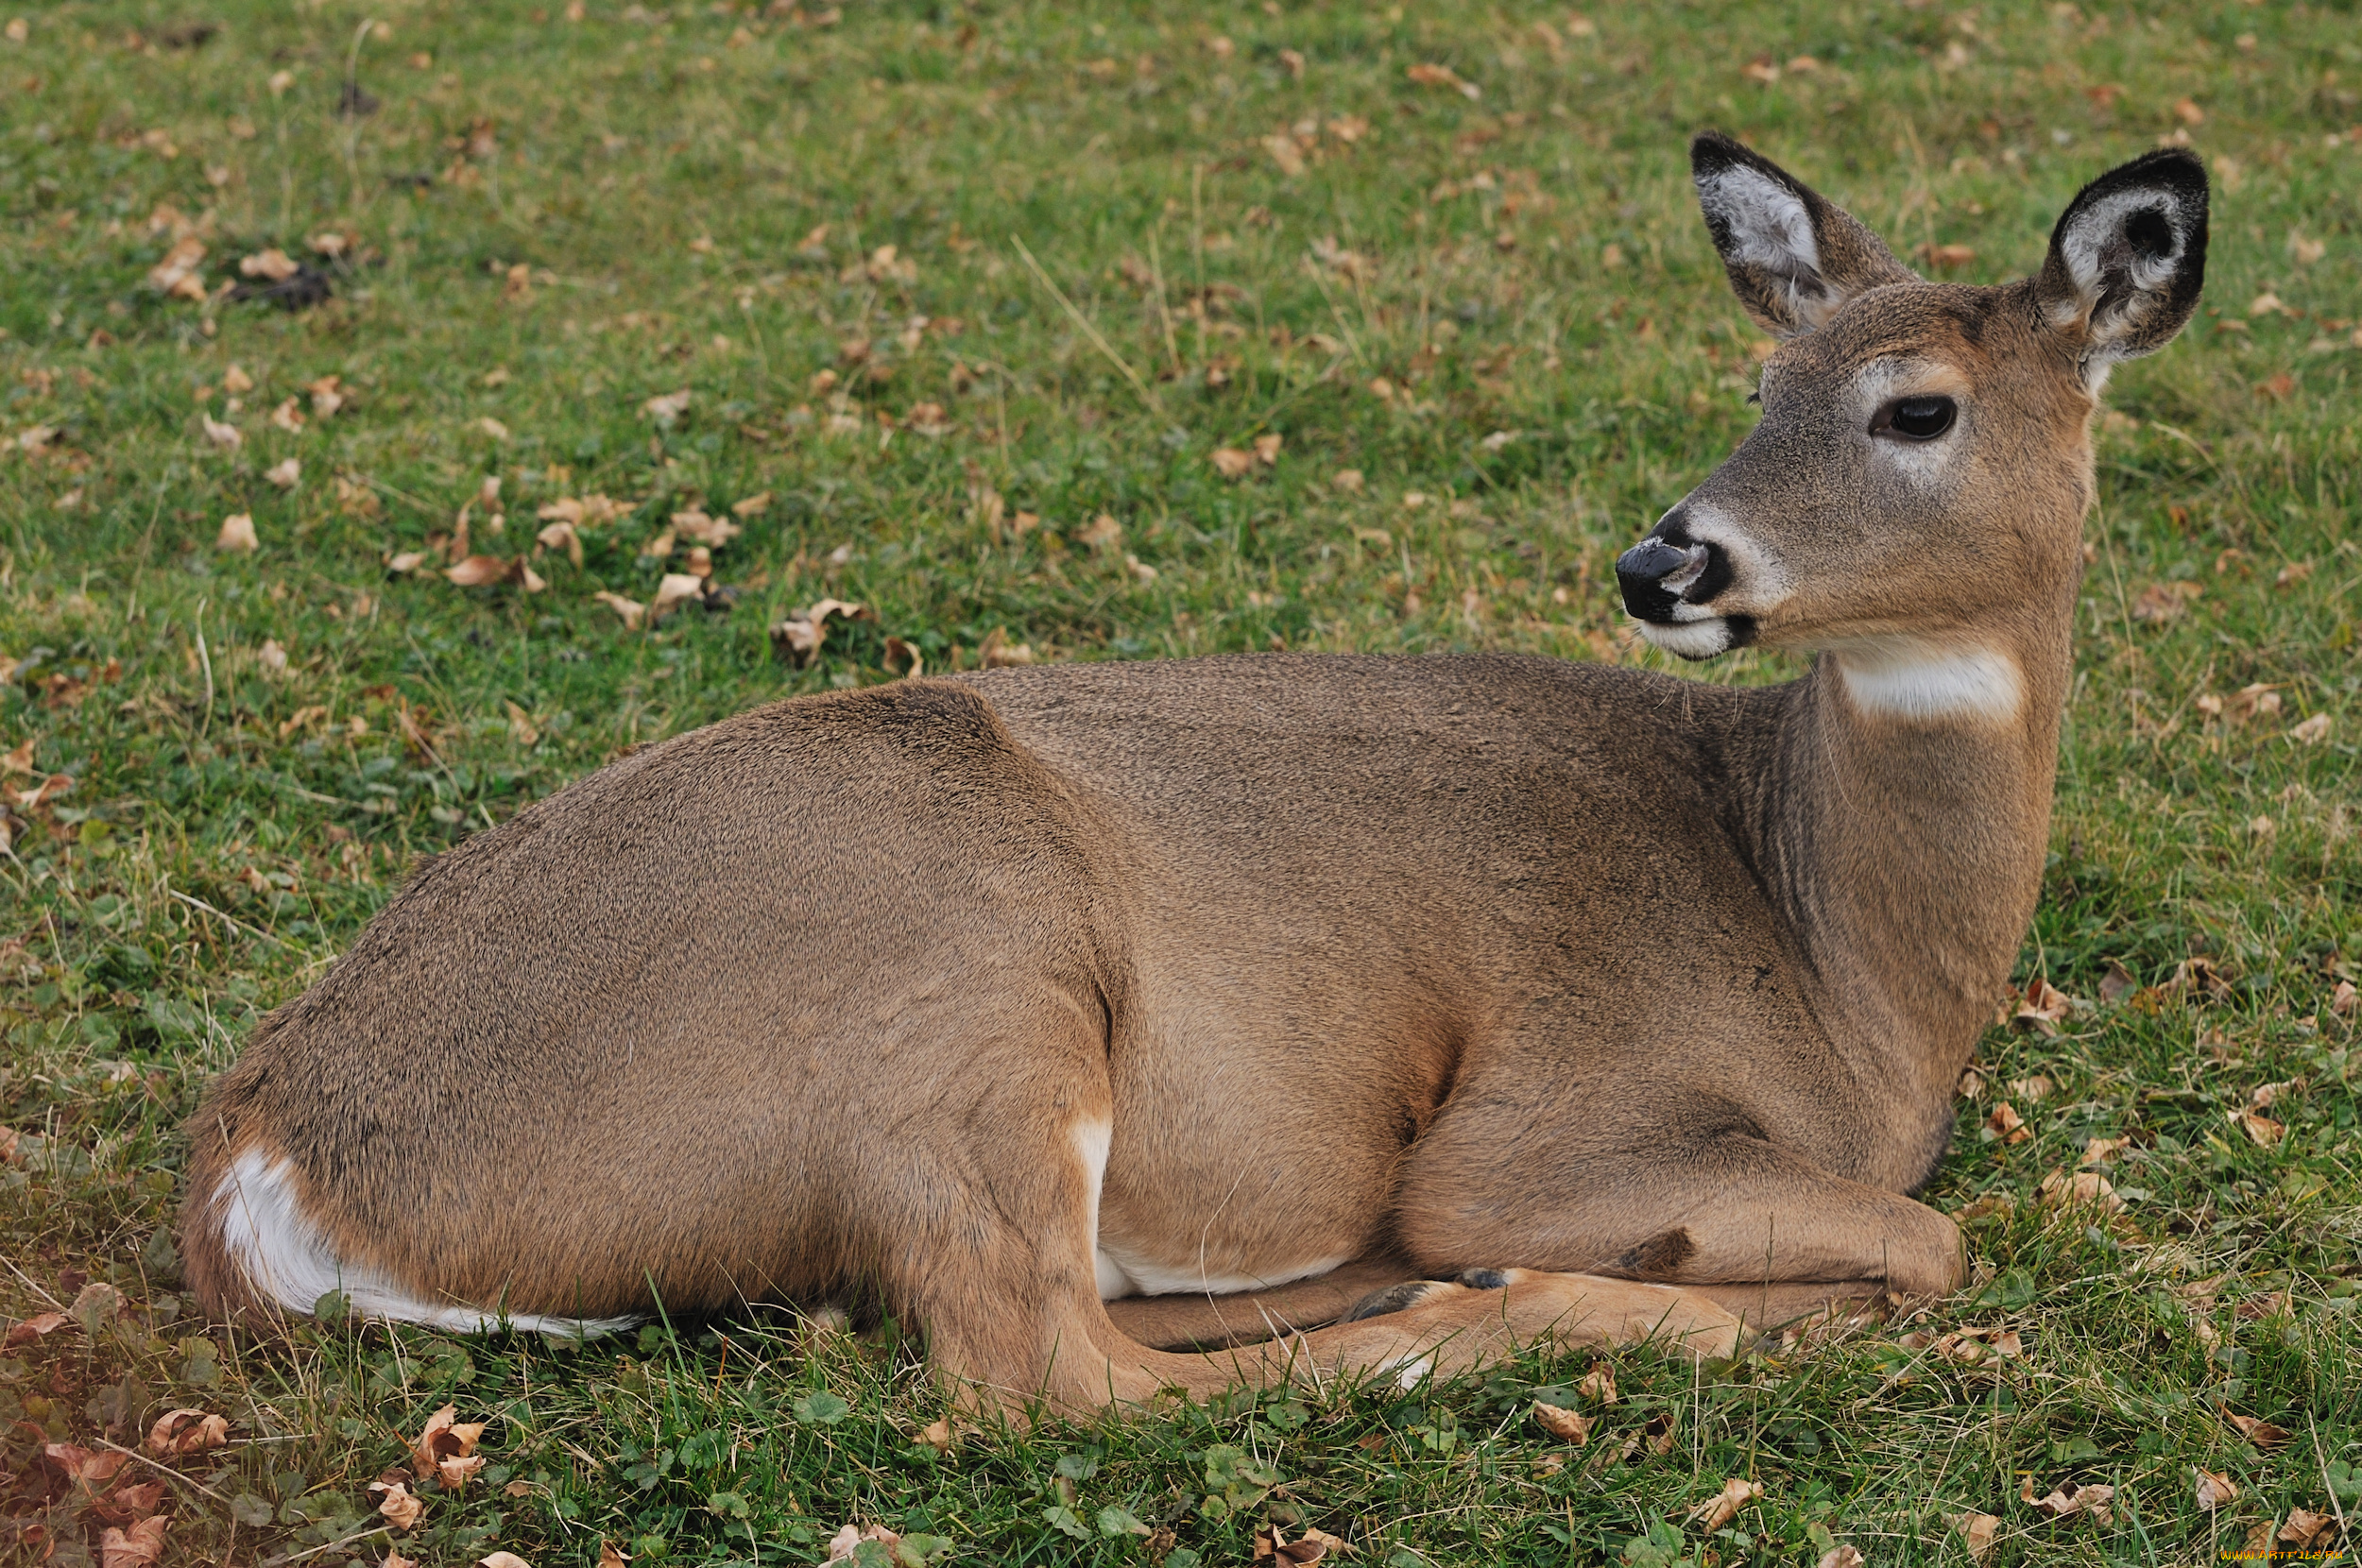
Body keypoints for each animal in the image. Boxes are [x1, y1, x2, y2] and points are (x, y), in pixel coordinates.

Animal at [184, 131, 2211, 1407]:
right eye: (1764, 387)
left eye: (1914, 407)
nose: (1666, 564)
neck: (1844, 966)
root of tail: (268, 1154)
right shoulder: (1545, 1117)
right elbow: (1929, 1244)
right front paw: (1620, 1282)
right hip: (962, 1003)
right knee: (1050, 1374)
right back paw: (1469, 1308)